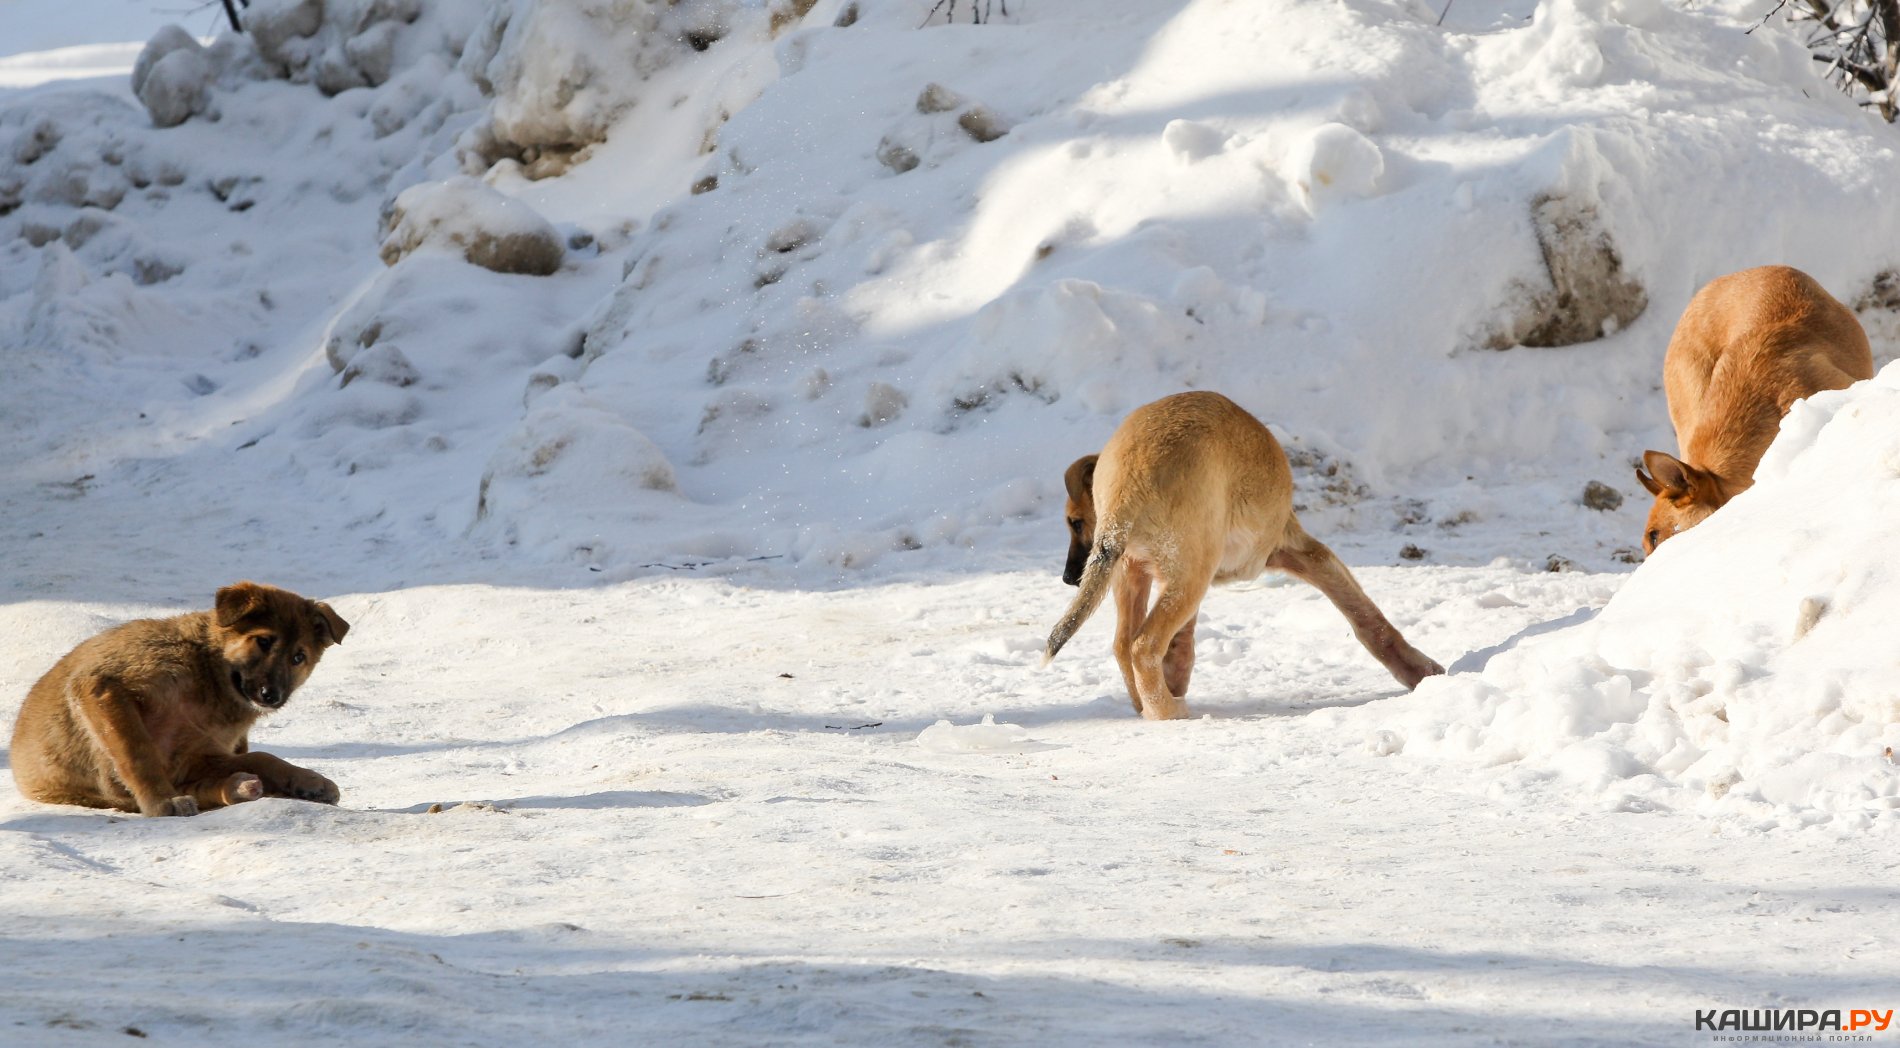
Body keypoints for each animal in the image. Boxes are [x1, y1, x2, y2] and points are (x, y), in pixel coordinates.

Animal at [11, 580, 351, 820]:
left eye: (298, 657)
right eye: (263, 641)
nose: (271, 696)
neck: (208, 674)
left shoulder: (195, 756)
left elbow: (265, 757)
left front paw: (308, 780)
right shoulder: (104, 686)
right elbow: (138, 753)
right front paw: (162, 800)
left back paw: (241, 787)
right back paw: (239, 787)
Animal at [1041, 393, 1436, 721]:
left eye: (1076, 523)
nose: (1067, 578)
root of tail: (1128, 480)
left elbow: (1183, 637)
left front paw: (1177, 673)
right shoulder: (1300, 550)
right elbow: (1368, 618)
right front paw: (1423, 672)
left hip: (1138, 572)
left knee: (1124, 643)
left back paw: (1149, 702)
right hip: (1190, 574)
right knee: (1143, 645)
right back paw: (1167, 711)